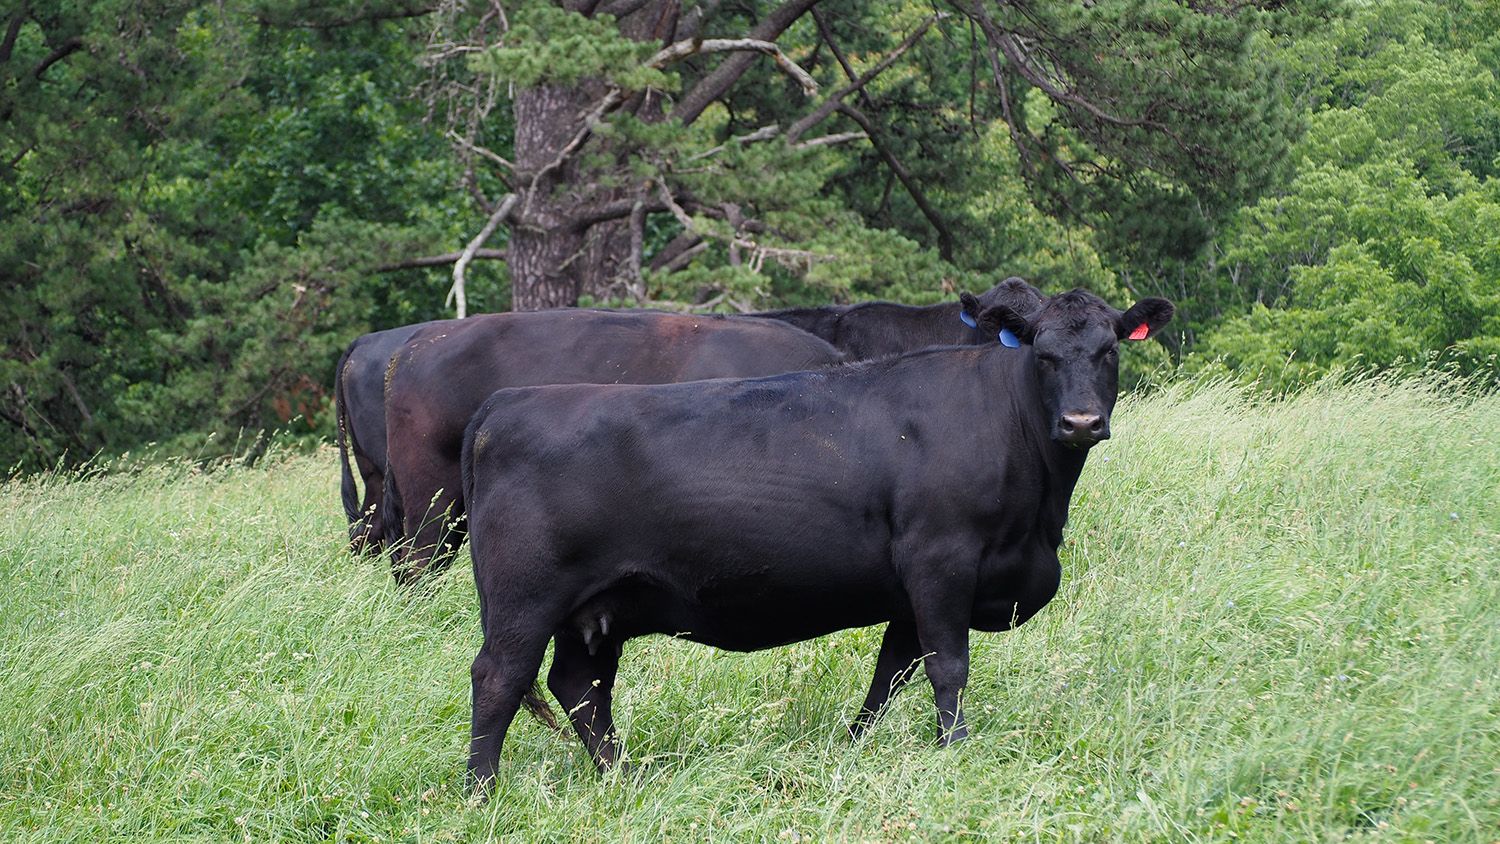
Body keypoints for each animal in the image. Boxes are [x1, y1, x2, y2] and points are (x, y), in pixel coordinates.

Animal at [456, 287, 1170, 785]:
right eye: (1043, 355)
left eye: (1109, 350)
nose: (1081, 422)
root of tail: (507, 403)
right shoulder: (940, 560)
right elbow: (948, 666)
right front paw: (956, 752)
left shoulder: (907, 591)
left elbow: (890, 676)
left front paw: (852, 748)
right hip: (526, 597)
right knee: (499, 678)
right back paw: (482, 793)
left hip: (599, 608)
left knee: (581, 688)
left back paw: (624, 777)